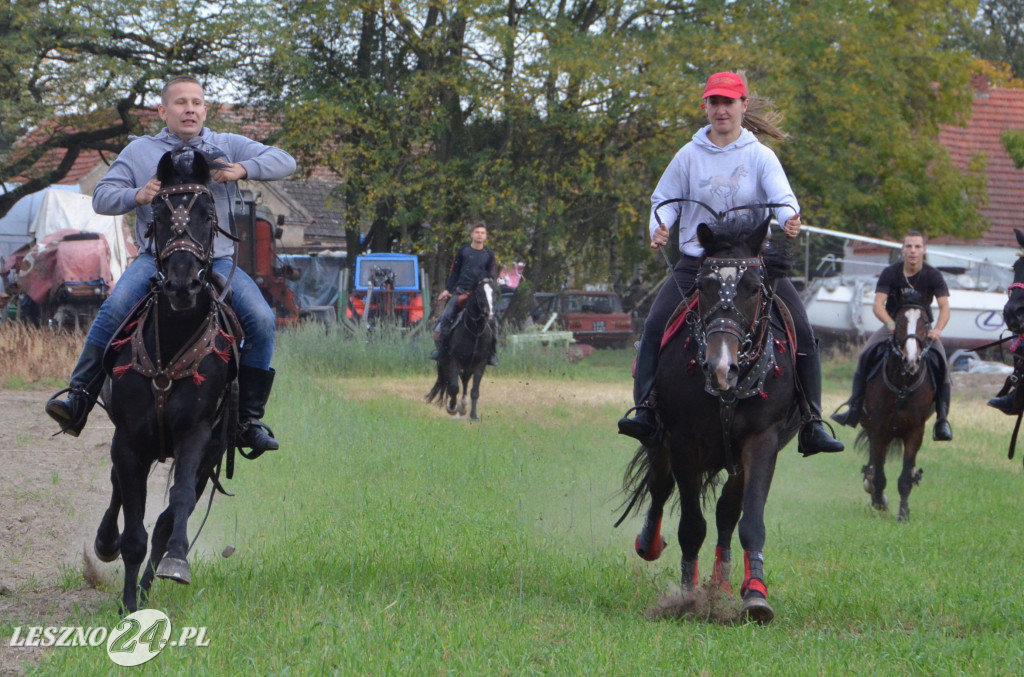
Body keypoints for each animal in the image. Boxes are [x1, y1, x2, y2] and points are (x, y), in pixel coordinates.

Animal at [93, 149, 241, 614]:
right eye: (157, 214)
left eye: (208, 214)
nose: (182, 284)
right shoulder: (128, 440)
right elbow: (133, 526)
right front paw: (127, 603)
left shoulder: (199, 439)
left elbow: (174, 510)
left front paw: (174, 564)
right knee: (118, 489)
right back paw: (105, 543)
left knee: (170, 513)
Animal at [425, 276, 497, 419]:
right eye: (480, 293)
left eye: (493, 293)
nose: (489, 315)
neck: (475, 331)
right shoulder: (454, 360)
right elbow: (453, 387)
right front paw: (452, 408)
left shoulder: (480, 363)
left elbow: (474, 391)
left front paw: (473, 415)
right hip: (448, 362)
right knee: (453, 382)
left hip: (468, 366)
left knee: (464, 381)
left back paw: (463, 406)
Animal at [614, 215, 798, 622]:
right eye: (704, 286)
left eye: (753, 288)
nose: (721, 366)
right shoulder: (684, 443)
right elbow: (691, 526)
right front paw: (686, 596)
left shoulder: (763, 442)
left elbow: (750, 520)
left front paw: (756, 596)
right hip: (661, 442)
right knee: (659, 488)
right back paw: (650, 543)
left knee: (728, 511)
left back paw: (723, 584)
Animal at [856, 292, 937, 520]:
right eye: (899, 321)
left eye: (925, 322)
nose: (911, 360)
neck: (903, 384)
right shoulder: (877, 430)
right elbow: (879, 473)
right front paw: (879, 501)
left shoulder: (915, 431)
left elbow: (905, 477)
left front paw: (903, 515)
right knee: (874, 465)